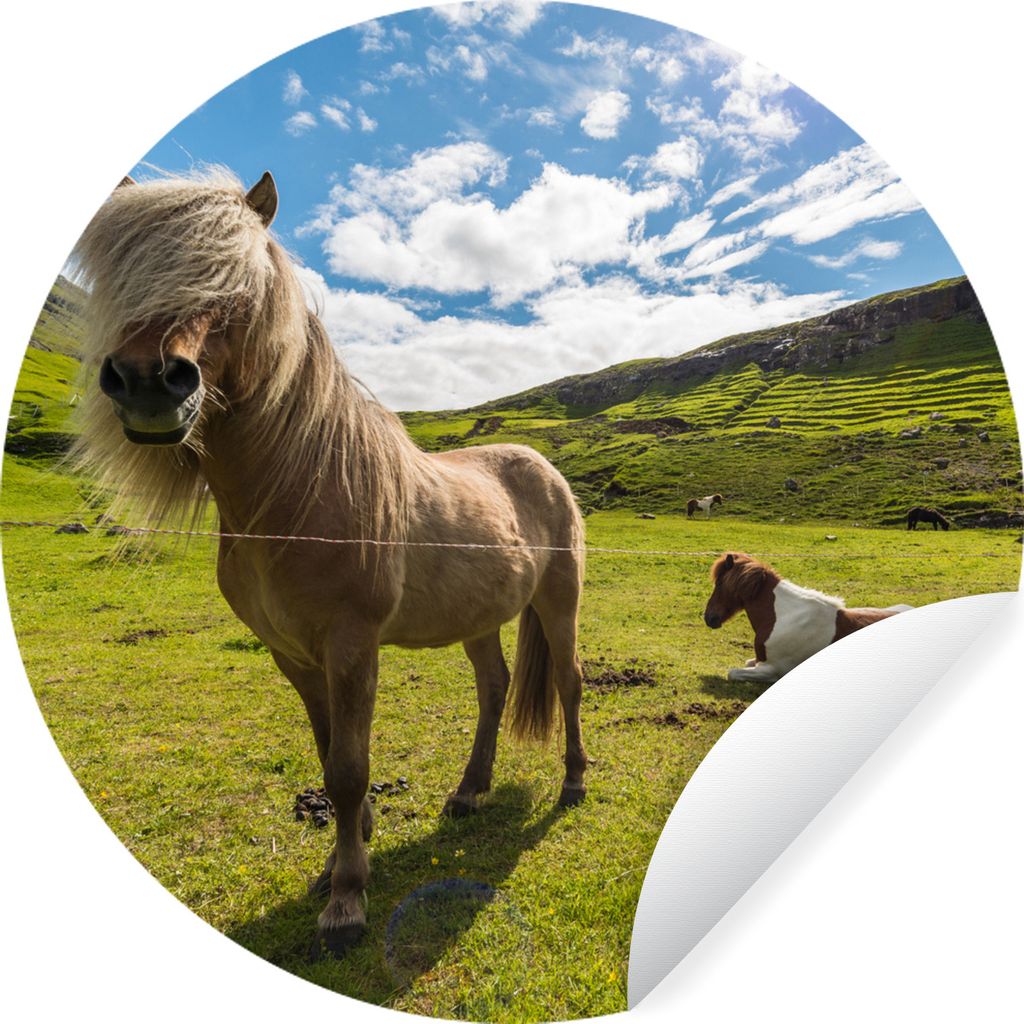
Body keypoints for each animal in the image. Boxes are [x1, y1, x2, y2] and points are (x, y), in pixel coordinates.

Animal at [70, 169, 588, 956]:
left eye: (240, 285)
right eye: (124, 280)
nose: (149, 383)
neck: (296, 493)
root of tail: (541, 464)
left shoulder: (351, 646)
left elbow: (347, 769)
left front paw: (346, 900)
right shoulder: (291, 652)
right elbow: (326, 754)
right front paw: (348, 856)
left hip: (559, 604)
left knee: (568, 682)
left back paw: (573, 785)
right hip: (479, 618)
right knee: (494, 688)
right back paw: (469, 791)